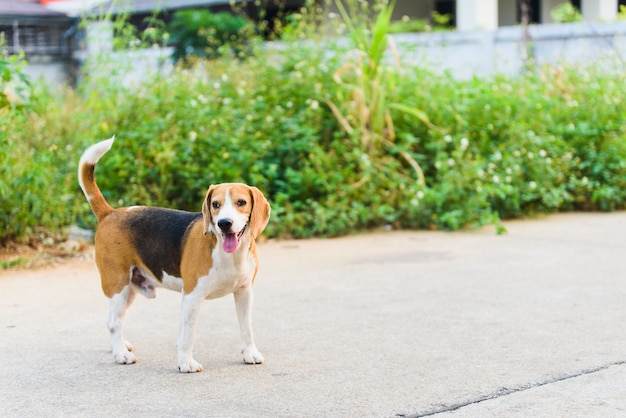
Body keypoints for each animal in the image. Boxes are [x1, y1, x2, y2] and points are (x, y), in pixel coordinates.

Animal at [77, 138, 268, 372]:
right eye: (215, 204)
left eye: (241, 202)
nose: (224, 223)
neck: (229, 255)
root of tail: (110, 213)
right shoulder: (192, 297)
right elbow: (187, 335)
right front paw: (186, 363)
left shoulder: (244, 293)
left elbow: (246, 328)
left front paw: (250, 353)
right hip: (117, 284)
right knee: (114, 322)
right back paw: (120, 354)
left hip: (129, 288)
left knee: (114, 320)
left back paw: (119, 347)